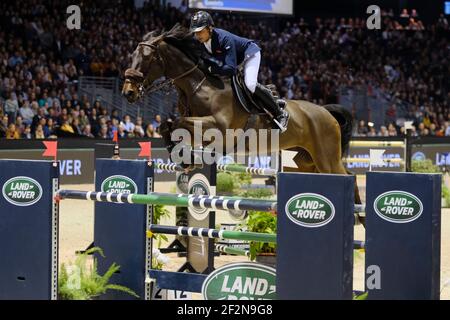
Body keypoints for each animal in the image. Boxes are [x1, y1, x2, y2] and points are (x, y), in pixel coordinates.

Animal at [123, 25, 362, 205]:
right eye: (131, 55)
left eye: (147, 58)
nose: (128, 92)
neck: (200, 87)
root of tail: (326, 112)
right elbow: (168, 125)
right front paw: (183, 157)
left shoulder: (219, 128)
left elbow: (179, 122)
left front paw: (186, 158)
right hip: (306, 160)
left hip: (326, 158)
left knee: (347, 177)